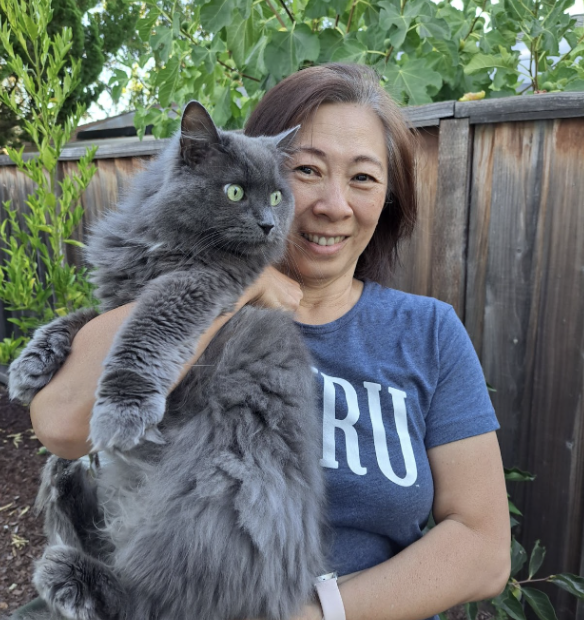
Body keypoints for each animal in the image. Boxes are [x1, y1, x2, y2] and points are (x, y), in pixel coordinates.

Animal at [9, 101, 326, 620]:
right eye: (235, 192)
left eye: (278, 196)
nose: (268, 224)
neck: (156, 242)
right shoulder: (116, 299)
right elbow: (74, 321)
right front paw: (30, 365)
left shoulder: (193, 286)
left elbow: (141, 336)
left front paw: (122, 411)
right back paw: (64, 484)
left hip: (216, 497)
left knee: (154, 598)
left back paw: (69, 577)